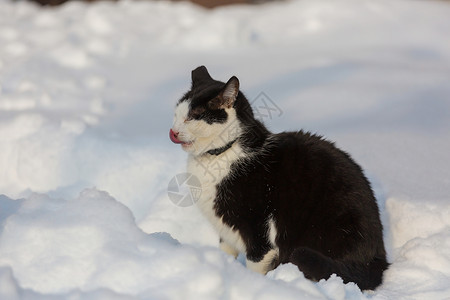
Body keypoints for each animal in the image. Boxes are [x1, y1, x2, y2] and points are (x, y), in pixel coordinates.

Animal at [171, 66, 388, 290]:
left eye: (194, 116)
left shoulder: (259, 233)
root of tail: (379, 256)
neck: (226, 152)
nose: (174, 131)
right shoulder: (226, 232)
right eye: (176, 114)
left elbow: (256, 265)